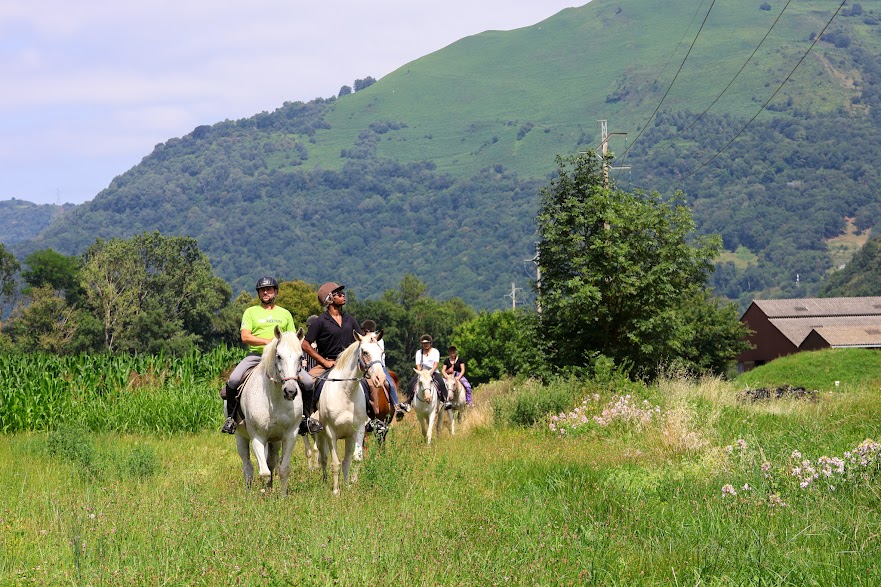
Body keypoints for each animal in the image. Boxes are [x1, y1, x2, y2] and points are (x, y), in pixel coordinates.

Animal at [234, 326, 306, 496]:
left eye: (301, 357)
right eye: (279, 356)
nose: (290, 392)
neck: (275, 398)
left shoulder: (290, 435)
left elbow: (283, 469)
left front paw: (282, 496)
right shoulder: (257, 437)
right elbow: (264, 472)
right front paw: (264, 495)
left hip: (274, 441)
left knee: (271, 462)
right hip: (241, 437)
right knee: (248, 468)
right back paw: (249, 494)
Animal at [316, 334, 384, 494]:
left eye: (381, 352)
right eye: (365, 352)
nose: (380, 378)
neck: (346, 392)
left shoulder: (358, 430)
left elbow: (356, 459)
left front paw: (351, 485)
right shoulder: (331, 433)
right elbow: (334, 462)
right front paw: (336, 491)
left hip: (348, 437)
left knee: (345, 461)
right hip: (320, 435)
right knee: (323, 458)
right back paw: (325, 481)